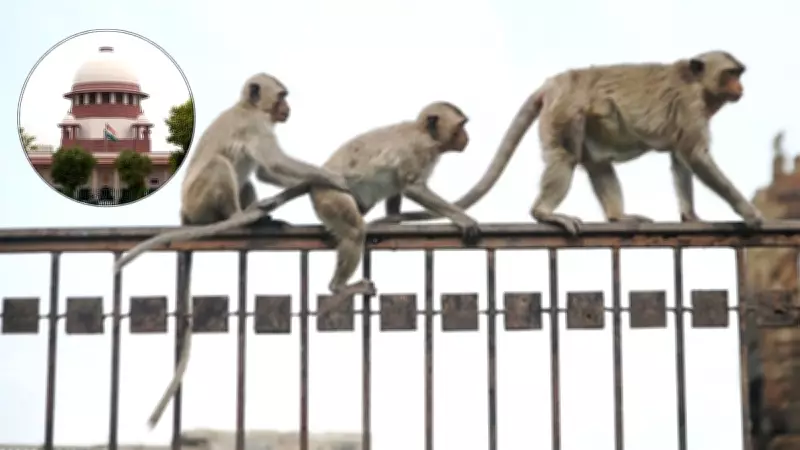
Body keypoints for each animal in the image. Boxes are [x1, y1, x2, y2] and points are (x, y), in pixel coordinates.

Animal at [133, 72, 351, 430]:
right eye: (282, 96)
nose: (287, 108)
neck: (248, 108)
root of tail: (184, 214)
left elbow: (266, 171)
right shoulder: (255, 126)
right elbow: (273, 162)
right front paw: (332, 177)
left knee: (246, 178)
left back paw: (261, 219)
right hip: (199, 202)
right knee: (221, 166)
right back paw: (238, 219)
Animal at [311, 101, 481, 309]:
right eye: (461, 125)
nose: (467, 137)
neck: (423, 132)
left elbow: (397, 186)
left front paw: (393, 219)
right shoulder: (419, 149)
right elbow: (412, 187)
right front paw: (463, 218)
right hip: (331, 197)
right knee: (355, 231)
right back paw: (339, 287)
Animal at [372, 51, 764, 234]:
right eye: (732, 73)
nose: (741, 87)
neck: (697, 85)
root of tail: (554, 83)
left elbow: (681, 159)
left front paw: (690, 215)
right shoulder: (691, 107)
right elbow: (694, 156)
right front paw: (749, 213)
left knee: (597, 162)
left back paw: (618, 216)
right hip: (564, 112)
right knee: (565, 158)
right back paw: (545, 213)